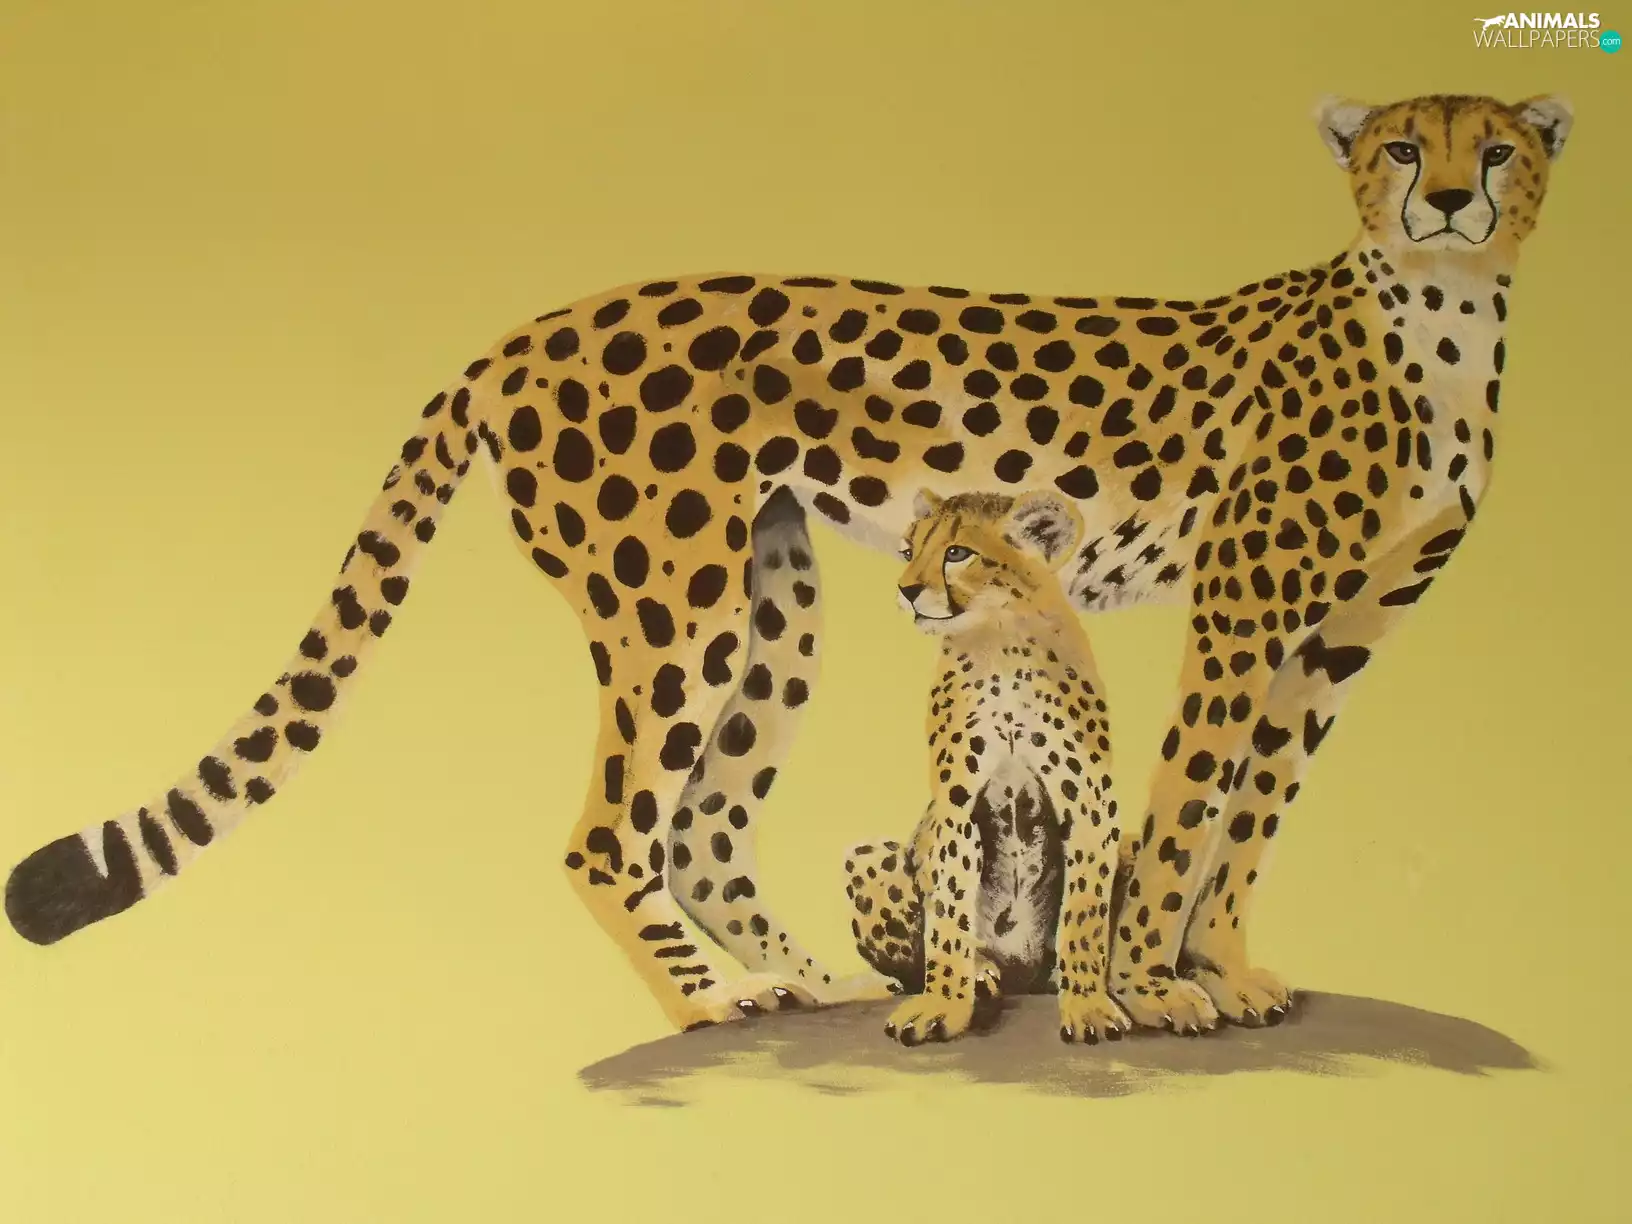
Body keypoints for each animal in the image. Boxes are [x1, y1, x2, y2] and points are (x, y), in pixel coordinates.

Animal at [845, 487, 1132, 1046]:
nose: (906, 589)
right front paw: (944, 1002)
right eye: (908, 550)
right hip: (868, 856)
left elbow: (1085, 912)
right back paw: (979, 971)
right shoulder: (956, 808)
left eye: (957, 553)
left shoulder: (1091, 803)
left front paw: (1087, 1003)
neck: (1000, 642)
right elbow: (949, 911)